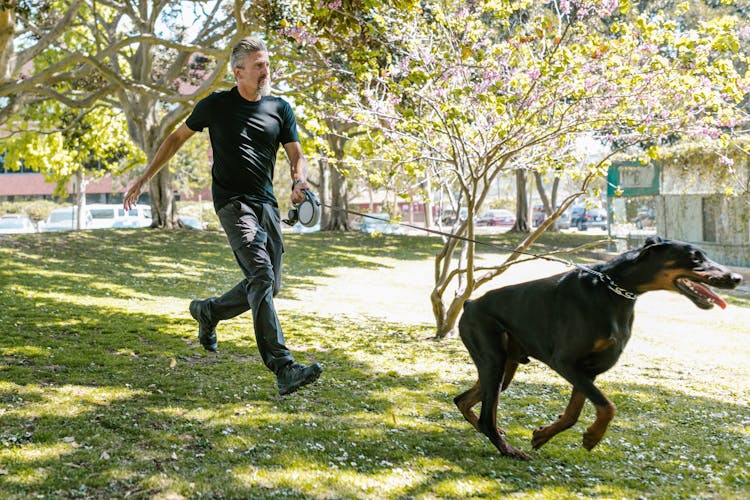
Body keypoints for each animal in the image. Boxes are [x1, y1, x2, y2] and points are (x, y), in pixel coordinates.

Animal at [456, 236, 744, 458]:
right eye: (694, 257)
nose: (737, 278)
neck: (614, 291)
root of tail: (470, 303)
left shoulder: (589, 370)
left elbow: (574, 413)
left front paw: (543, 435)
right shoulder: (565, 362)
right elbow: (607, 407)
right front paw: (593, 436)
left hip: (506, 367)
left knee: (463, 400)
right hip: (493, 358)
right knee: (486, 415)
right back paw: (507, 448)